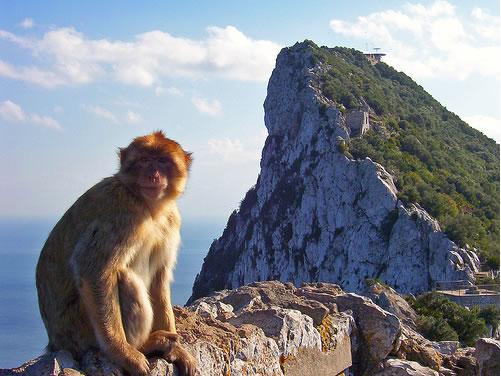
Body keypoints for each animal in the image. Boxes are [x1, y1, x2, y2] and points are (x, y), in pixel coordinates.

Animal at [35, 131, 194, 374]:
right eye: (144, 161)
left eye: (162, 161)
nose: (153, 175)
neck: (148, 207)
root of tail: (55, 341)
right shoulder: (120, 214)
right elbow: (93, 271)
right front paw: (123, 353)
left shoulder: (171, 220)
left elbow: (159, 277)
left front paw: (178, 351)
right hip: (79, 331)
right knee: (123, 278)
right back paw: (145, 345)